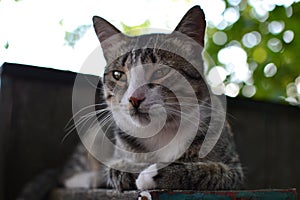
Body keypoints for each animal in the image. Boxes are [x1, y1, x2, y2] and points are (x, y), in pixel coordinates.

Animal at [60, 5, 244, 192]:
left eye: (161, 71)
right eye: (118, 75)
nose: (134, 98)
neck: (162, 132)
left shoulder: (235, 171)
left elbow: (211, 170)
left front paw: (155, 173)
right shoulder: (118, 157)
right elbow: (117, 168)